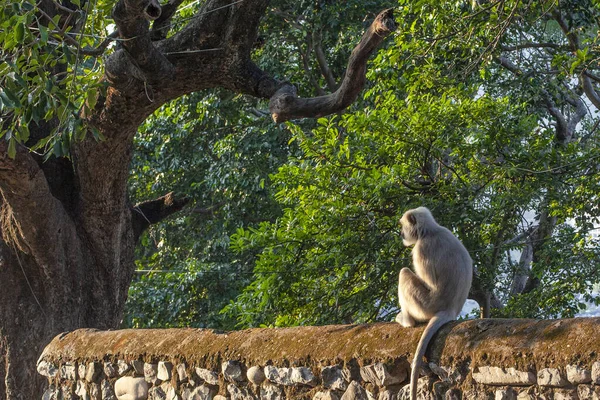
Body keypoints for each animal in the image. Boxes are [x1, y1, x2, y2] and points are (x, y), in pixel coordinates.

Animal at [396, 208, 472, 398]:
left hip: (423, 305)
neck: (430, 231)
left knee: (404, 273)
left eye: (402, 227)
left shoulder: (421, 249)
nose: (401, 233)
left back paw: (407, 321)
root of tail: (450, 310)